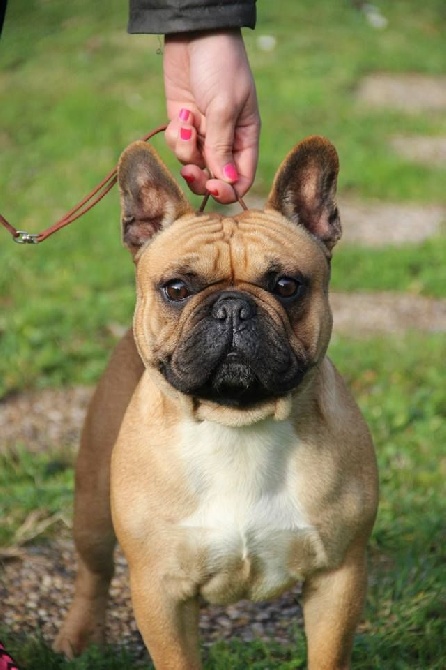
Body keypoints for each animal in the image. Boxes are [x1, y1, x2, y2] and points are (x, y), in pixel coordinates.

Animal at [55, 138, 376, 670]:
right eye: (177, 289)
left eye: (286, 286)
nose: (231, 306)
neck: (238, 424)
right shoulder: (159, 592)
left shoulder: (339, 577)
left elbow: (327, 655)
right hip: (93, 509)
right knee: (93, 570)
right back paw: (79, 635)